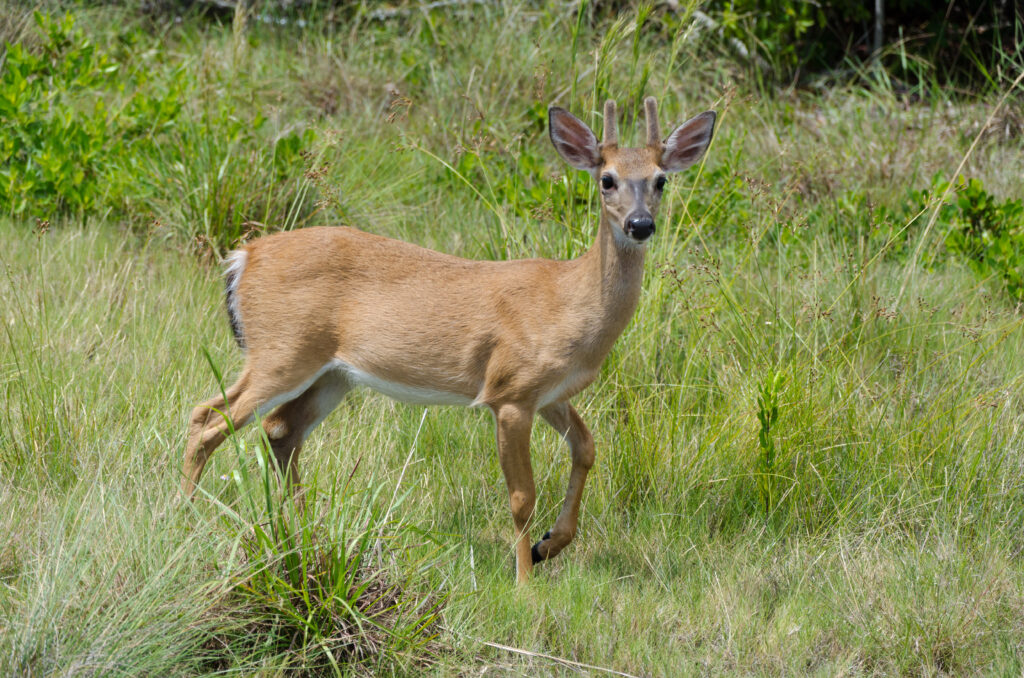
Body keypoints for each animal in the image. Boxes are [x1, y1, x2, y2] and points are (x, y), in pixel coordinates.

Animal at [183, 96, 716, 582]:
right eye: (607, 179)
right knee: (207, 418)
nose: (640, 224)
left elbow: (587, 447)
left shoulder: (549, 392)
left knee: (279, 430)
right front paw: (525, 582)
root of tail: (242, 257)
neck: (568, 303)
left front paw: (548, 545)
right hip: (281, 350)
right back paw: (186, 517)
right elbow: (522, 496)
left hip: (332, 374)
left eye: (661, 180)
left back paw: (301, 534)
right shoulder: (510, 392)